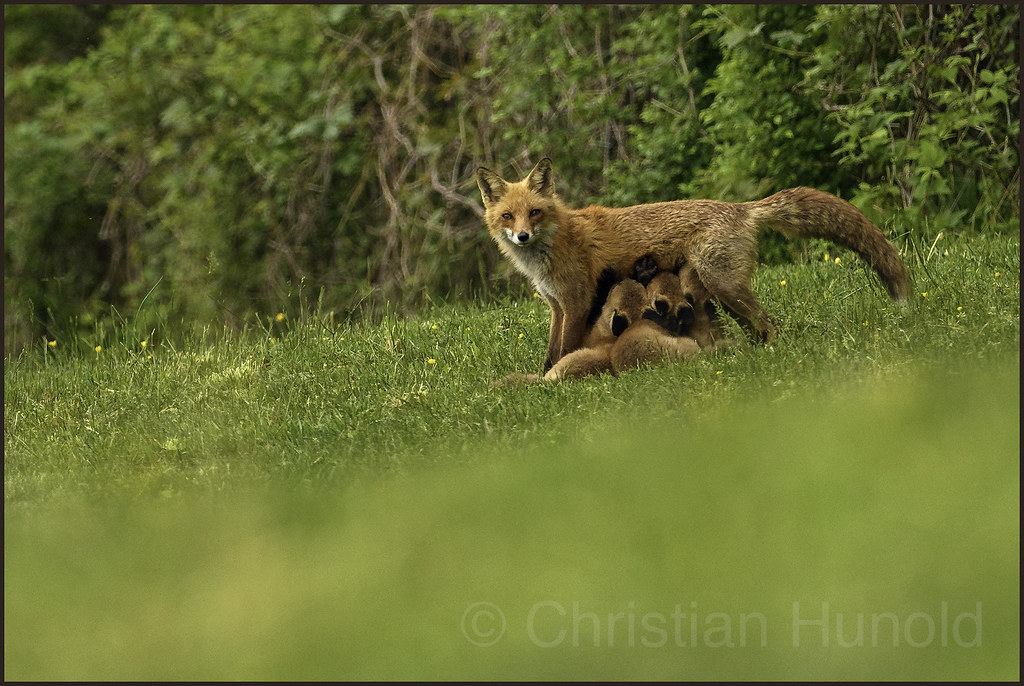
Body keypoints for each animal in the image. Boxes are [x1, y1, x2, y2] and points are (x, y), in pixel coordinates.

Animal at [476, 157, 911, 371]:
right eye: (508, 217)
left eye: (534, 212)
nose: (522, 237)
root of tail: (739, 208)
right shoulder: (555, 305)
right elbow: (551, 352)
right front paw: (546, 374)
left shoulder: (577, 302)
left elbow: (565, 351)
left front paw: (554, 380)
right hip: (724, 293)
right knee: (757, 328)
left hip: (722, 284)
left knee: (771, 326)